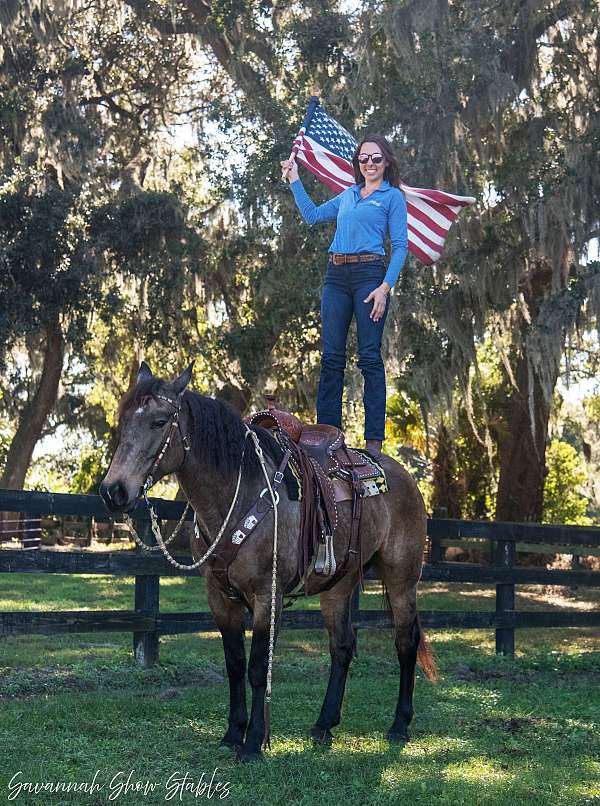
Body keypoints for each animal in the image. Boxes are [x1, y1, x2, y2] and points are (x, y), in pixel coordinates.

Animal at [99, 364, 436, 764]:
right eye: (122, 421)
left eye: (159, 421)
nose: (113, 491)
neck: (237, 494)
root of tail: (402, 476)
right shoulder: (220, 598)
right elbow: (234, 664)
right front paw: (233, 733)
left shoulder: (267, 595)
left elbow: (259, 666)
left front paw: (254, 743)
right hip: (338, 586)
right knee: (342, 646)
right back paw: (324, 725)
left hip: (402, 580)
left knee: (405, 642)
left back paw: (399, 725)